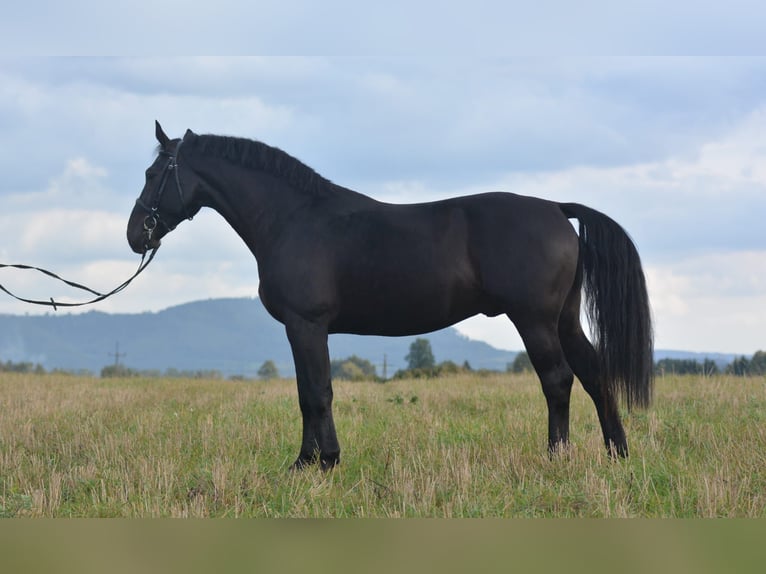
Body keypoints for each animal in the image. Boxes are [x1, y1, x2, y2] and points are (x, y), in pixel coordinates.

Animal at [126, 122, 656, 472]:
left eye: (153, 174)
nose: (135, 235)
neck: (293, 219)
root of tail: (556, 209)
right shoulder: (304, 330)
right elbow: (307, 393)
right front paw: (307, 461)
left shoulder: (306, 324)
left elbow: (315, 392)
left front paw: (321, 463)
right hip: (563, 318)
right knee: (594, 374)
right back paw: (617, 454)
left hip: (534, 320)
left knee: (558, 380)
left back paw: (555, 458)